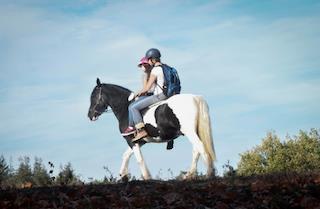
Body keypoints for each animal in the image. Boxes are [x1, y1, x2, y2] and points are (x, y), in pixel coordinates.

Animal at [87, 78, 216, 180]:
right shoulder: (140, 141)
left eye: (93, 96)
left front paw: (147, 177)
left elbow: (139, 159)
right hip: (194, 132)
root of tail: (195, 98)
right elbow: (126, 155)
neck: (125, 109)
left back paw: (209, 173)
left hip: (190, 132)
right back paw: (190, 175)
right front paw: (123, 175)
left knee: (201, 148)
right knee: (196, 151)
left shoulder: (131, 140)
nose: (90, 115)